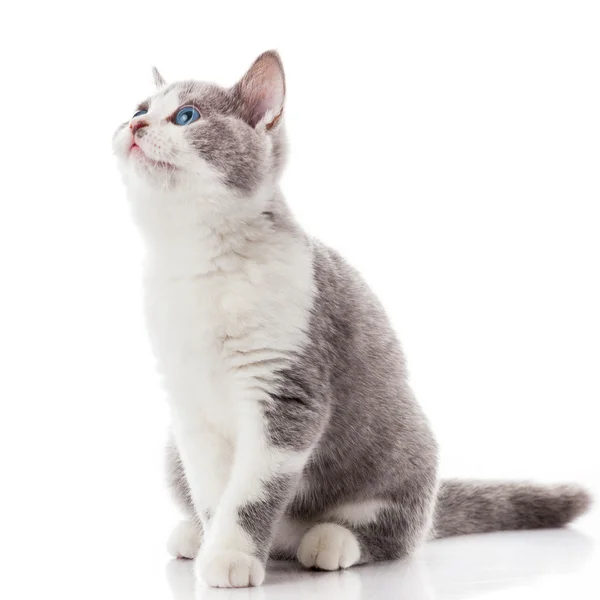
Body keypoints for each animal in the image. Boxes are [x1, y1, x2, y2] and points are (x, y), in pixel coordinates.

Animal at [112, 50, 592, 584]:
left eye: (186, 116)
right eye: (139, 108)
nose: (135, 124)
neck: (200, 264)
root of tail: (288, 538)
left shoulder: (287, 393)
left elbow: (253, 490)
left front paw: (233, 556)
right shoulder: (189, 407)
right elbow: (215, 492)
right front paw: (218, 541)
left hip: (407, 443)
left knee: (397, 533)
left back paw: (333, 540)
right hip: (171, 450)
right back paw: (194, 536)